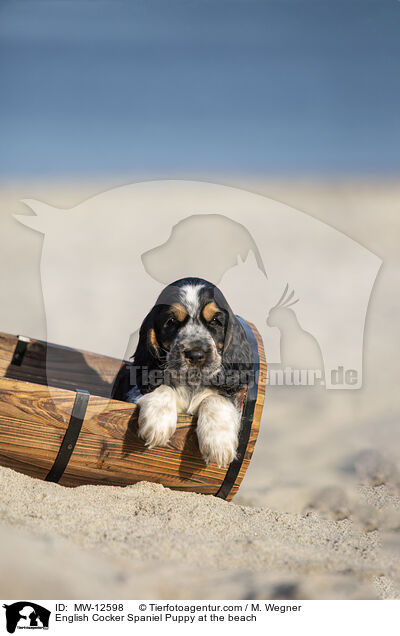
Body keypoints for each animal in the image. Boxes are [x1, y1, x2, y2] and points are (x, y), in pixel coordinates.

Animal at [111, 278, 252, 468]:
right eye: (171, 321)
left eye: (215, 321)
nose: (196, 355)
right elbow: (162, 387)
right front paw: (158, 423)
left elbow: (217, 398)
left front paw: (219, 445)